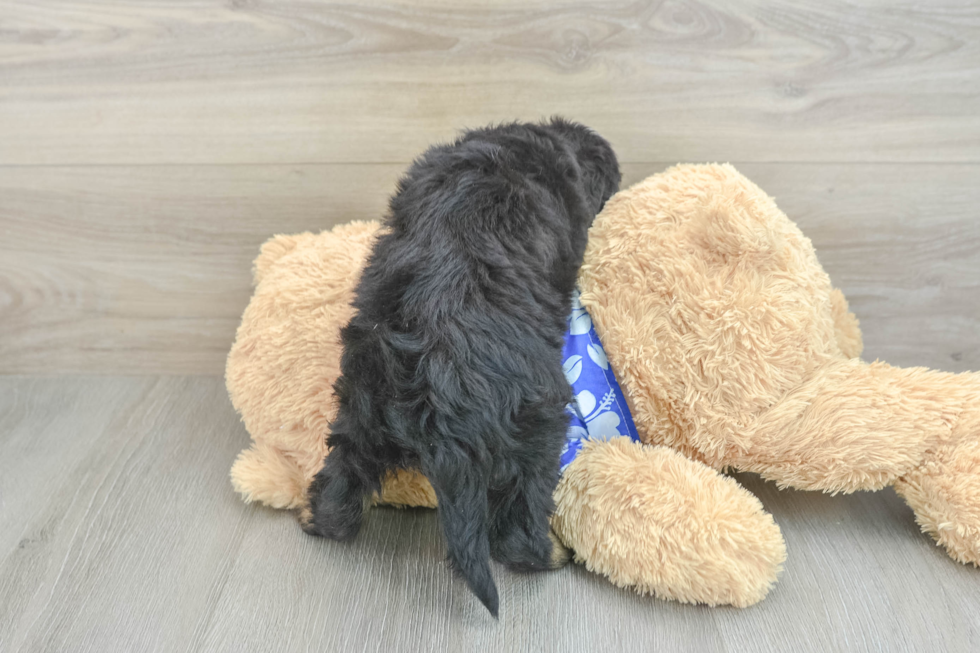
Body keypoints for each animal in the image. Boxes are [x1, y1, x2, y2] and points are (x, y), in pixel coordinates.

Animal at [304, 118, 620, 616]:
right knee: (518, 528)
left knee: (342, 475)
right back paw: (550, 555)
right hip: (538, 428)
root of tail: (442, 383)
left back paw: (320, 519)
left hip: (362, 402)